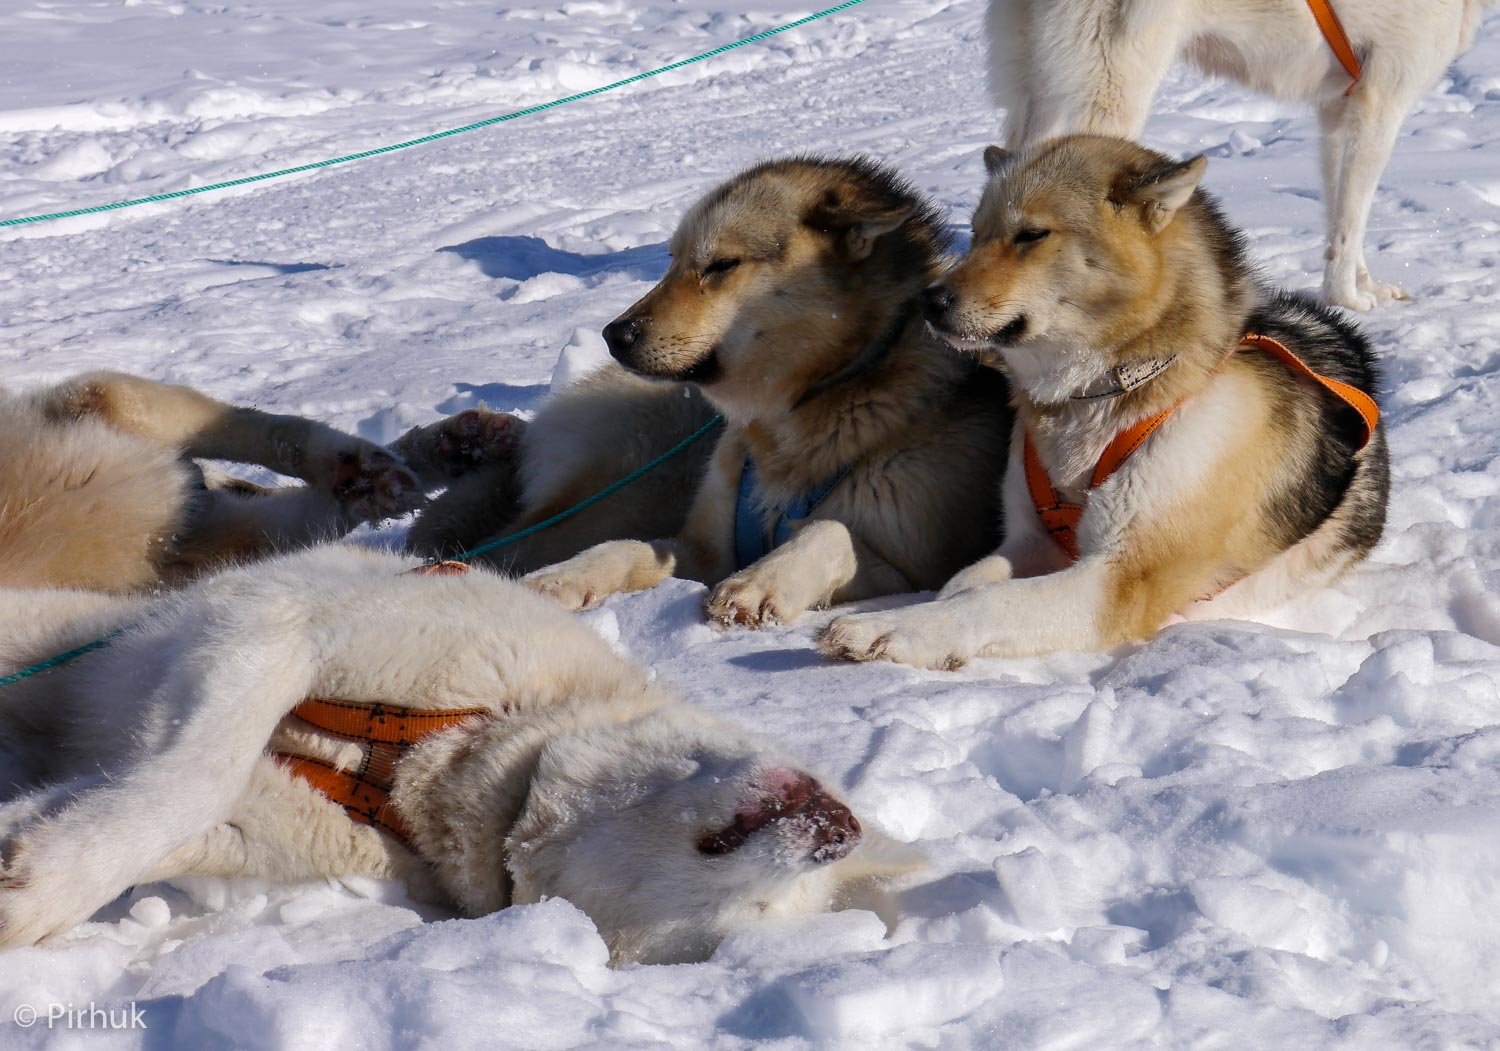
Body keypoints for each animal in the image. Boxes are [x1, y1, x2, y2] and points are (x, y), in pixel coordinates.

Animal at [0, 545, 912, 965]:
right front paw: (53, 884)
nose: (840, 826)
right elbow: (192, 777)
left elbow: (160, 814)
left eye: (754, 913)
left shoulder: (279, 819)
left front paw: (38, 859)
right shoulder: (274, 632)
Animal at [507, 158, 1020, 623]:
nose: (615, 334)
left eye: (721, 265)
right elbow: (628, 548)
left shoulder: (913, 571)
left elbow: (829, 529)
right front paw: (567, 576)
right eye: (673, 261)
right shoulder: (704, 550)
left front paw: (761, 581)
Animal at [816, 134, 1386, 668]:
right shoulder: (1031, 541)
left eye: (1031, 235)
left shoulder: (1119, 580)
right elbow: (967, 582)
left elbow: (990, 602)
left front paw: (891, 628)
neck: (1109, 389)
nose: (929, 300)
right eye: (975, 233)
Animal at [990, 0, 1494, 308]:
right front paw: (1346, 300)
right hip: (1108, 92)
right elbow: (1352, 221)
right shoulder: (1379, 106)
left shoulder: (1339, 111)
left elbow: (1341, 214)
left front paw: (1363, 284)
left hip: (1035, 89)